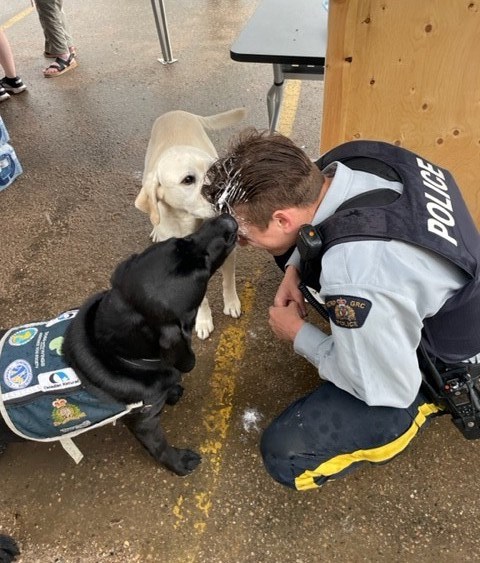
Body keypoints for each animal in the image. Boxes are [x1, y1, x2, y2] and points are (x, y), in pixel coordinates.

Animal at [0, 214, 237, 478]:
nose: (228, 220)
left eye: (184, 239)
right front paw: (178, 462)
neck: (112, 350)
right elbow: (160, 447)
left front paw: (173, 391)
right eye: (203, 270)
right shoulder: (145, 423)